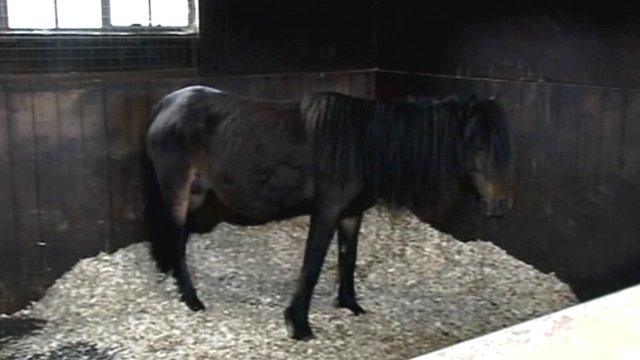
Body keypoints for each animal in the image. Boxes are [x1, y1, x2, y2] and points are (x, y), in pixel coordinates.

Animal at [145, 86, 516, 338]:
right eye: (477, 146)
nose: (500, 205)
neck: (361, 145)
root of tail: (167, 103)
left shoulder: (351, 214)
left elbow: (347, 258)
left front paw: (350, 304)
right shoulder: (326, 211)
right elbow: (312, 265)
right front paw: (299, 325)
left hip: (195, 194)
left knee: (178, 240)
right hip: (178, 191)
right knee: (176, 238)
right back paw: (192, 300)